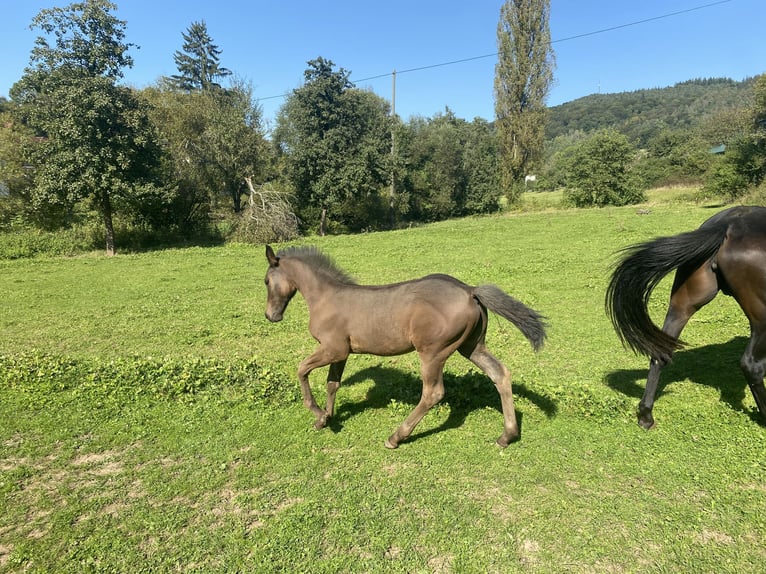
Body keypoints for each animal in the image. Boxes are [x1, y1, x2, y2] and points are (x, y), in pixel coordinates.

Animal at [264, 245, 547, 448]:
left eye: (266, 281)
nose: (270, 316)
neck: (325, 297)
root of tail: (469, 290)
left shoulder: (333, 349)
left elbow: (302, 370)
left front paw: (318, 413)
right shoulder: (341, 353)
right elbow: (332, 383)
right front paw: (326, 418)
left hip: (433, 352)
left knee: (433, 393)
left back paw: (395, 437)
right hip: (472, 347)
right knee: (500, 374)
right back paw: (507, 436)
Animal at [605, 205, 766, 429]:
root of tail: (727, 225)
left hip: (682, 305)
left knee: (660, 353)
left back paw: (646, 415)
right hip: (762, 318)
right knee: (752, 366)